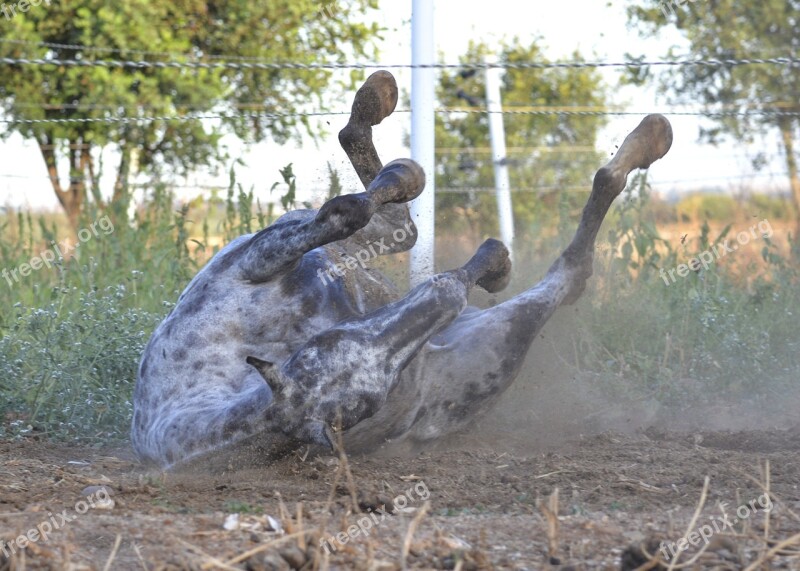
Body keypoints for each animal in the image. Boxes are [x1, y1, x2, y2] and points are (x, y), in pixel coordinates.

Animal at [133, 70, 676, 470]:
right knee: (572, 266)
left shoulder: (260, 256)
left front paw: (401, 177)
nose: (431, 313)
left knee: (389, 214)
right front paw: (470, 267)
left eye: (322, 345)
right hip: (503, 339)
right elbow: (382, 227)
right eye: (373, 395)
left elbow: (354, 212)